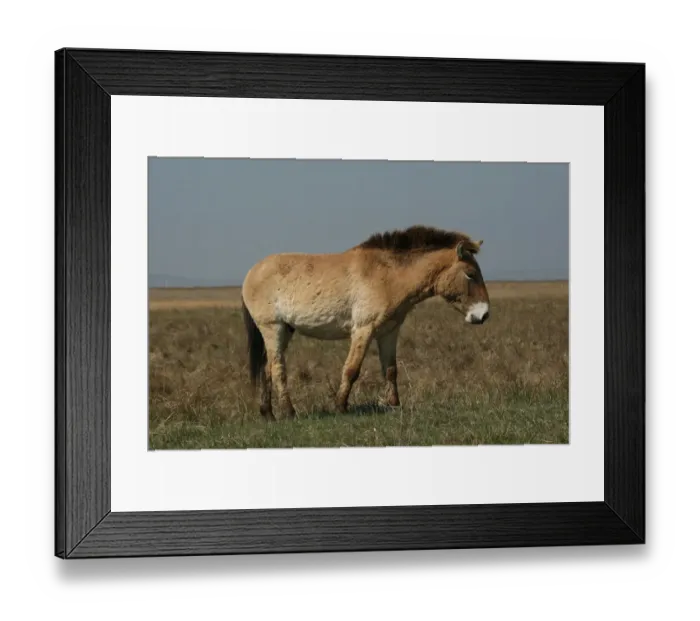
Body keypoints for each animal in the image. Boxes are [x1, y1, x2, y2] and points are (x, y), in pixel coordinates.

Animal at [240, 225, 491, 420]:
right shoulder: (364, 329)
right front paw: (340, 407)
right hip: (272, 328)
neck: (388, 275)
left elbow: (390, 370)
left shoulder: (389, 331)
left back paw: (268, 414)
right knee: (277, 368)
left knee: (266, 369)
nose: (484, 315)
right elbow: (351, 369)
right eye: (470, 274)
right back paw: (289, 413)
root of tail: (252, 272)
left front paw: (394, 406)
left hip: (285, 329)